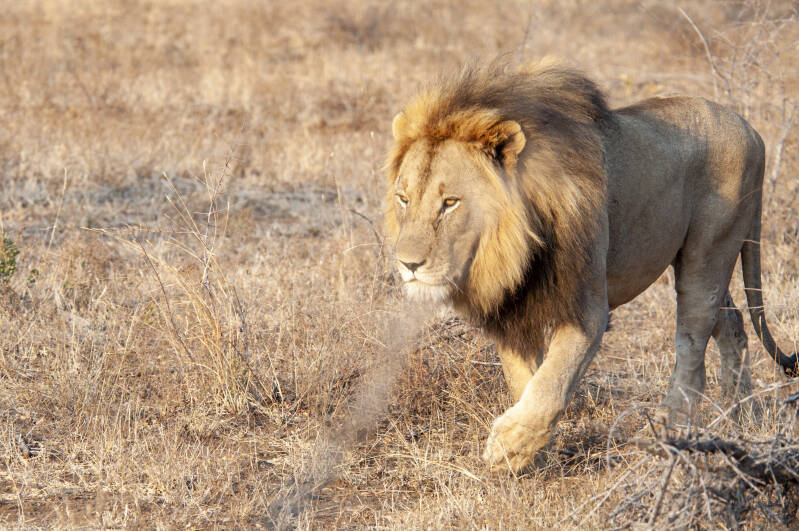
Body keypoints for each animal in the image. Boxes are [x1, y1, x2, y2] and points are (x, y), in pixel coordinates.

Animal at [384, 62, 798, 471]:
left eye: (450, 202)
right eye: (404, 199)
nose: (408, 264)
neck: (511, 249)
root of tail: (750, 129)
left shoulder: (587, 308)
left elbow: (553, 380)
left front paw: (508, 446)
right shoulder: (515, 310)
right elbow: (525, 380)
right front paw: (535, 453)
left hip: (708, 253)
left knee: (694, 341)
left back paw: (669, 427)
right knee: (732, 324)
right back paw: (740, 416)